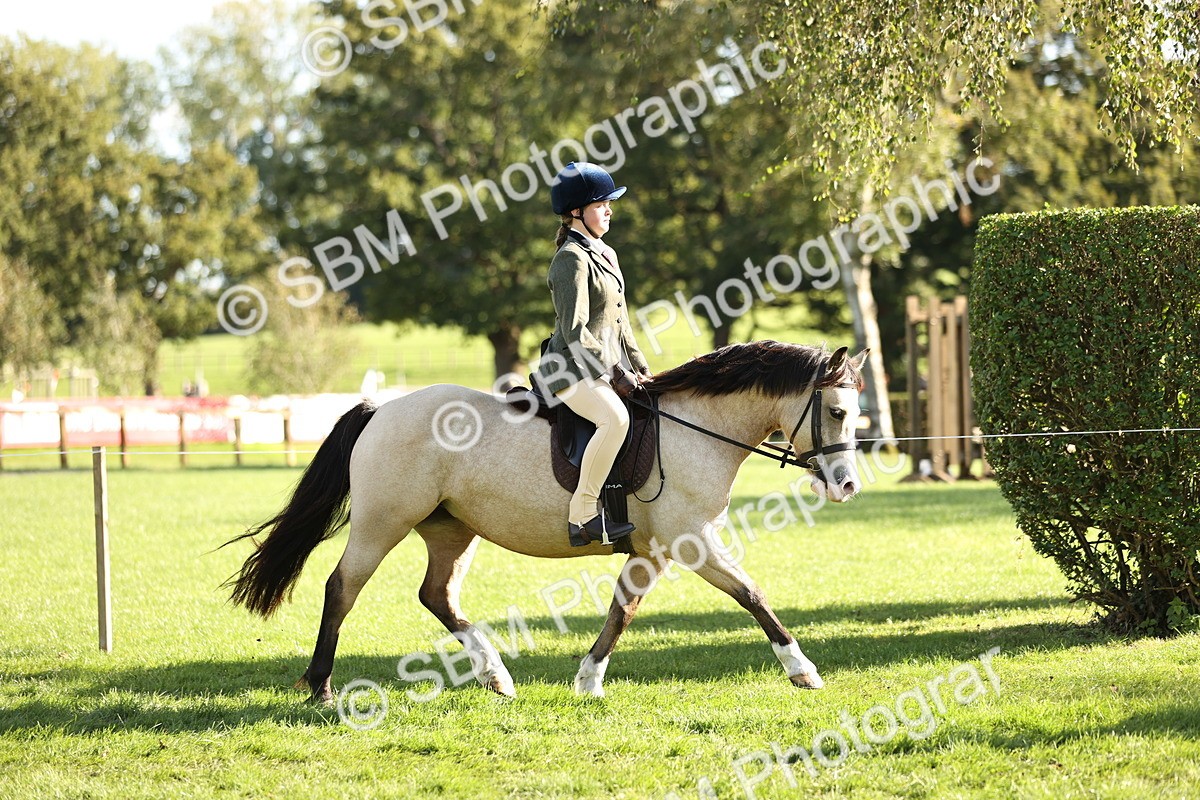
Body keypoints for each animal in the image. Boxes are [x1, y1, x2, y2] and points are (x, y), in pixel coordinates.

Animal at [225, 340, 867, 703]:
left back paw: (496, 677)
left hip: (451, 530)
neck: (696, 429)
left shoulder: (651, 551)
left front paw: (588, 680)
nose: (847, 486)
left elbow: (621, 611)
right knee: (342, 588)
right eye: (837, 412)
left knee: (436, 595)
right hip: (383, 523)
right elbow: (752, 595)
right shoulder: (693, 541)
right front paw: (804, 671)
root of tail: (381, 408)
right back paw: (320, 687)